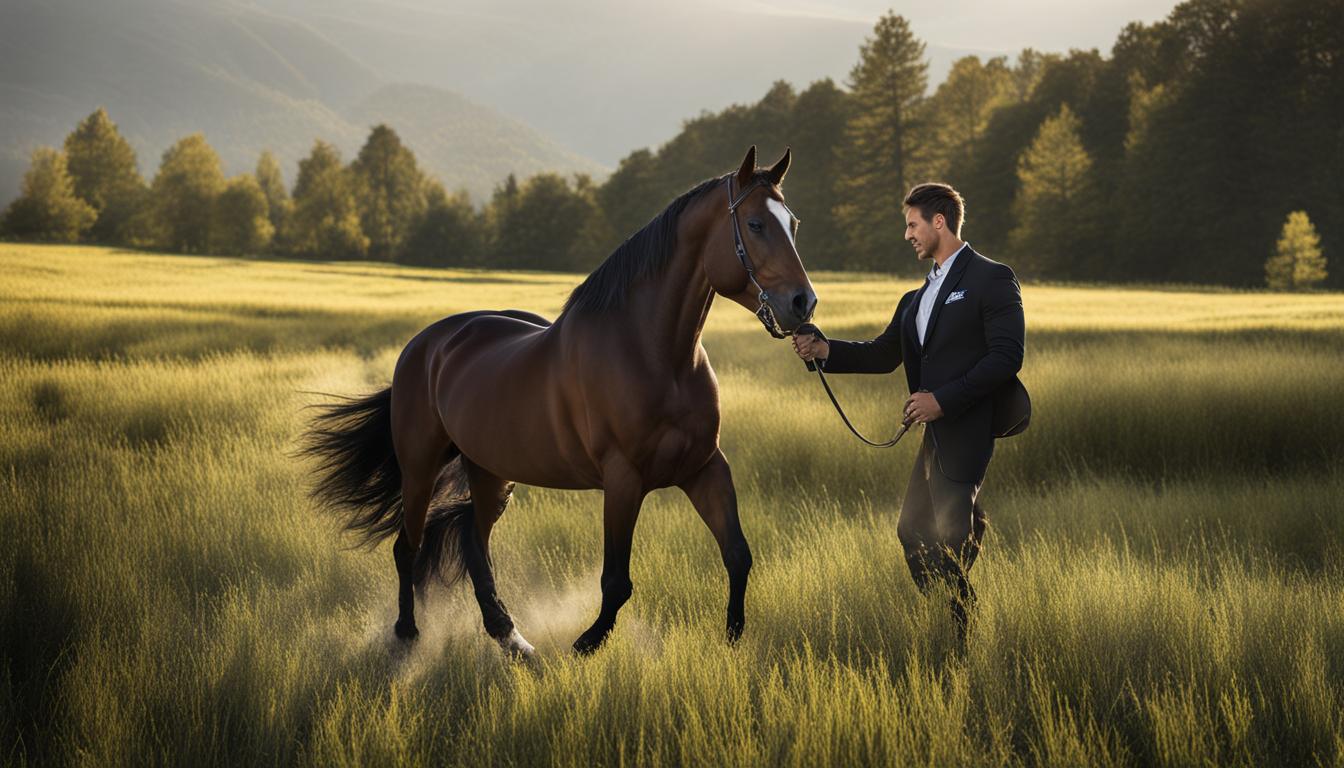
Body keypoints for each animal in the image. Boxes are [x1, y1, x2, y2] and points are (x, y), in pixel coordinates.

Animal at [301, 146, 816, 657]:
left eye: (793, 224)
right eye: (755, 224)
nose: (802, 304)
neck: (655, 353)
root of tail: (424, 345)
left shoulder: (705, 467)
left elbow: (738, 554)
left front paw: (732, 636)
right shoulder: (623, 478)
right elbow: (616, 580)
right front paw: (587, 643)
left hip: (490, 472)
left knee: (474, 545)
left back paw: (511, 639)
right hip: (420, 467)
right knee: (407, 546)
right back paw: (408, 634)